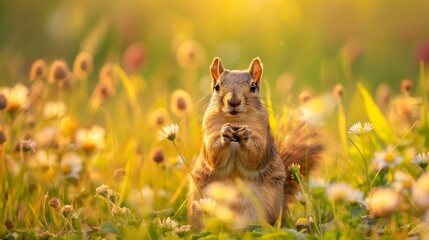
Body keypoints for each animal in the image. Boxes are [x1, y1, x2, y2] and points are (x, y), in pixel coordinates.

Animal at [187, 57, 320, 228]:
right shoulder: (209, 131)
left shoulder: (263, 134)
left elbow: (258, 156)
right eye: (217, 87)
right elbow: (212, 156)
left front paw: (245, 135)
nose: (233, 101)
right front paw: (224, 133)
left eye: (253, 87)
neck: (236, 120)